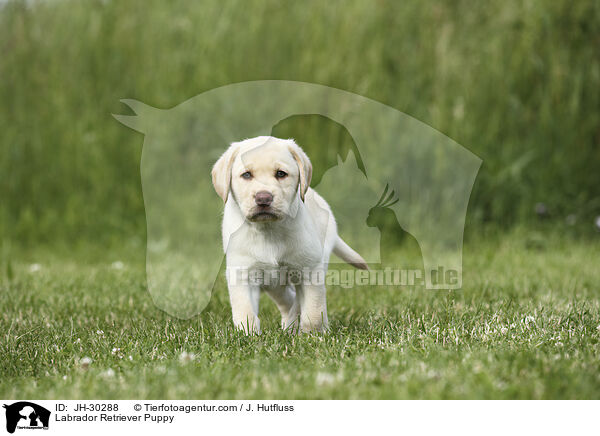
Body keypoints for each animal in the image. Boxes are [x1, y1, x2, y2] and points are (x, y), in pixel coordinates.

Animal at [213, 136, 368, 334]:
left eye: (281, 174)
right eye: (246, 175)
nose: (263, 198)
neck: (268, 230)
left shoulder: (310, 270)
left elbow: (313, 310)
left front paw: (313, 335)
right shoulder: (241, 273)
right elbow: (245, 311)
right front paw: (248, 335)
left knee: (298, 301)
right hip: (273, 283)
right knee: (288, 300)